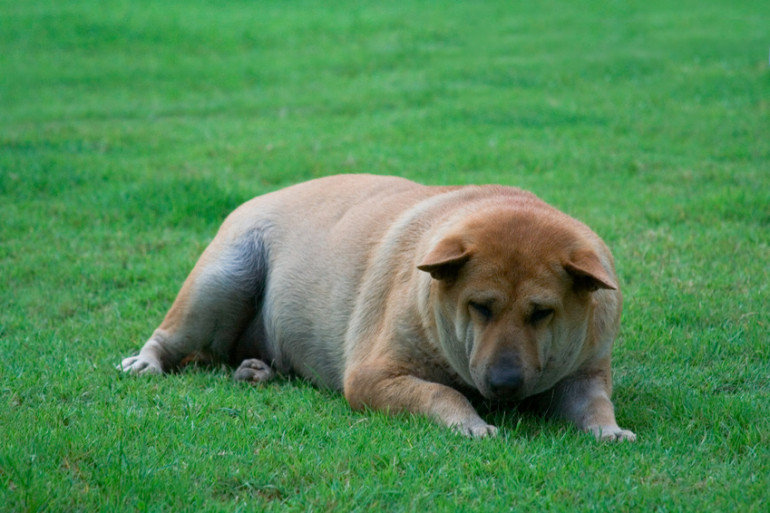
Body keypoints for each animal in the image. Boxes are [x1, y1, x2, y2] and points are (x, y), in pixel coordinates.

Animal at [120, 173, 632, 440]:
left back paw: (260, 369)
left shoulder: (584, 370)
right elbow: (442, 393)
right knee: (174, 335)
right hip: (223, 279)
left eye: (542, 312)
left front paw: (608, 430)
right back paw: (148, 360)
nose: (504, 383)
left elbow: (594, 402)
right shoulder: (372, 377)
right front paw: (471, 423)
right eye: (479, 307)